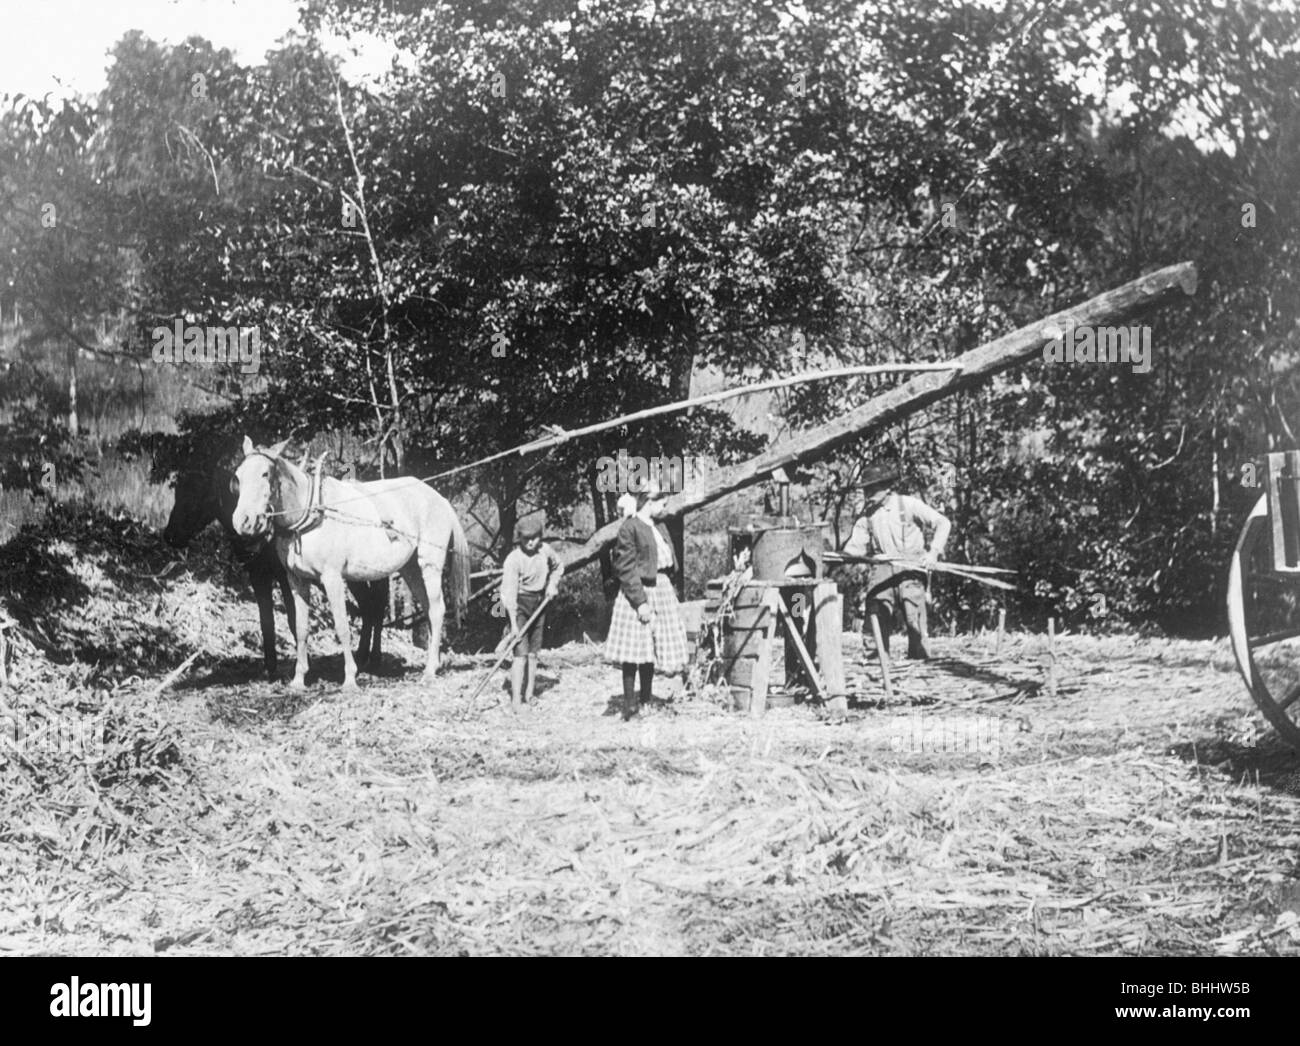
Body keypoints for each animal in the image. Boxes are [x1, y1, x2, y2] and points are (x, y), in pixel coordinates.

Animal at [162, 459, 387, 675]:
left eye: (197, 495)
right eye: (177, 494)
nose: (170, 536)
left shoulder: (287, 579)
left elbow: (293, 619)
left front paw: (303, 665)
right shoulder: (258, 577)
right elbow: (266, 620)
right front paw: (270, 667)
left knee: (373, 607)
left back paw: (370, 658)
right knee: (370, 607)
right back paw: (365, 656)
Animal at [231, 436, 470, 691]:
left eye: (265, 473)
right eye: (238, 476)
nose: (243, 522)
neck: (310, 515)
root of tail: (439, 499)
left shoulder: (332, 578)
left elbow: (342, 627)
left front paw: (349, 679)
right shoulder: (297, 581)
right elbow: (301, 628)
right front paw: (298, 679)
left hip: (429, 565)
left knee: (436, 609)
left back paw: (429, 671)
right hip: (411, 569)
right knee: (427, 608)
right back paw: (432, 663)